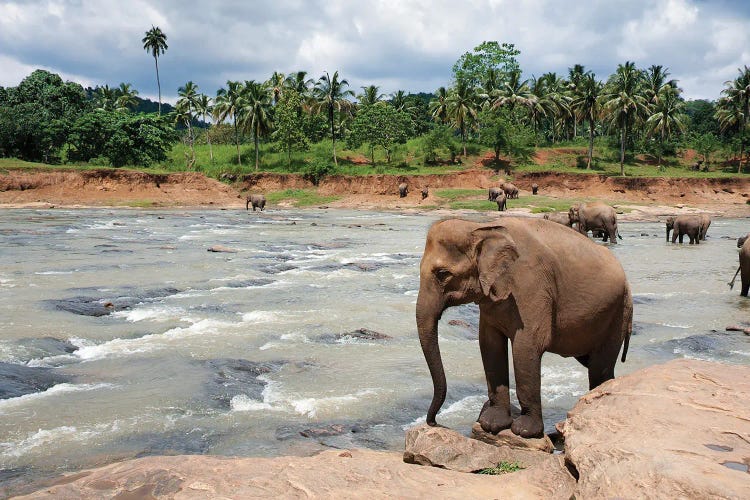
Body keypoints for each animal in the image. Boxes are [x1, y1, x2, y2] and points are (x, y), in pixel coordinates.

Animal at [418, 219, 636, 438]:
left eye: (442, 274)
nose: (434, 422)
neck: (482, 227)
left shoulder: (532, 286)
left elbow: (526, 347)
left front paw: (525, 431)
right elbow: (490, 345)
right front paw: (492, 424)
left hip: (618, 313)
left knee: (600, 368)